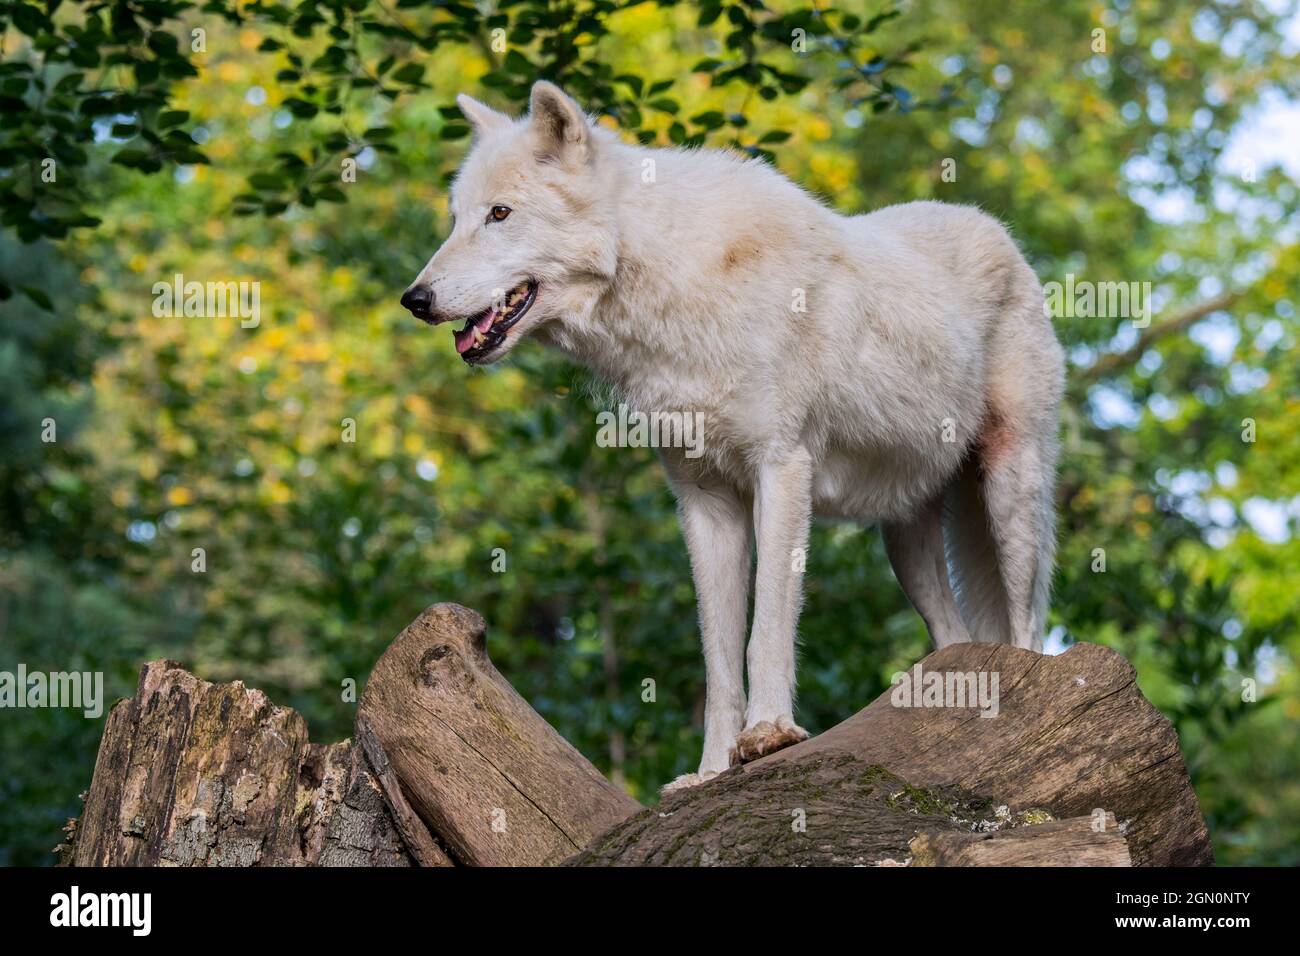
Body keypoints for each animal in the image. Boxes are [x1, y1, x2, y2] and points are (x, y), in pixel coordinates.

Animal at [403, 82, 1066, 790]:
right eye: (455, 219)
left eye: (500, 214)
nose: (414, 299)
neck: (675, 285)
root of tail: (997, 228)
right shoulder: (705, 501)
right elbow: (717, 658)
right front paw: (710, 771)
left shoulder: (782, 469)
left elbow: (765, 628)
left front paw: (769, 734)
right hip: (904, 535)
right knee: (953, 632)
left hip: (1010, 493)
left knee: (1027, 625)